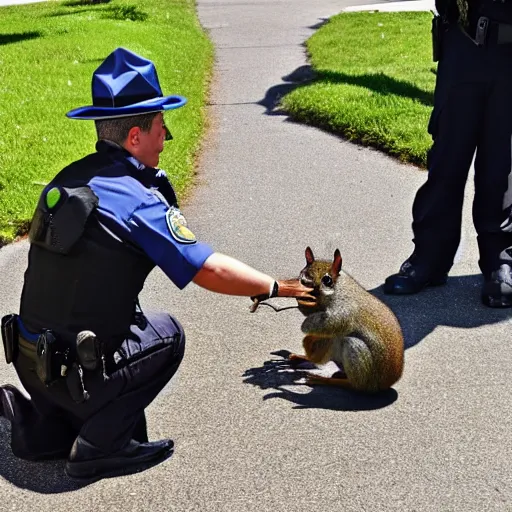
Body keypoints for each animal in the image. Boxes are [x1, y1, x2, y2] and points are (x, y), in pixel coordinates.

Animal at [292, 247, 404, 392]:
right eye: (303, 273)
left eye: (327, 280)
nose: (304, 282)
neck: (338, 286)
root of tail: (384, 385)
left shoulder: (345, 307)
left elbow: (334, 321)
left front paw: (307, 328)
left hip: (357, 355)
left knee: (353, 384)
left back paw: (324, 379)